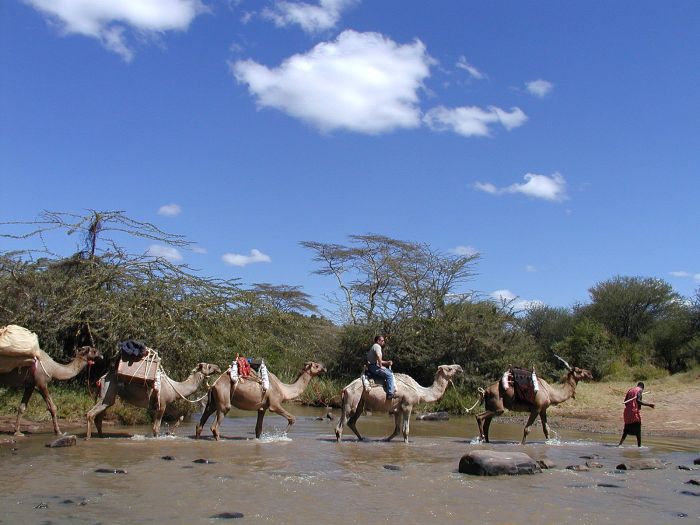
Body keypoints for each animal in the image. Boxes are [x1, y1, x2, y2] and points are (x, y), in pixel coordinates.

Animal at [86, 360, 220, 438]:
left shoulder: (161, 405)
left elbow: (180, 416)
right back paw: (88, 438)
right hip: (108, 393)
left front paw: (170, 433)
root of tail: (102, 378)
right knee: (90, 414)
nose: (218, 368)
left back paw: (101, 437)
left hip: (107, 396)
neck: (175, 388)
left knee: (98, 417)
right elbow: (156, 428)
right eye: (208, 366)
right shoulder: (162, 404)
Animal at [196, 360, 326, 438]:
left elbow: (258, 429)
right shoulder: (274, 404)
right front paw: (282, 435)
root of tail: (213, 385)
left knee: (200, 424)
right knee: (215, 427)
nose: (324, 368)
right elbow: (292, 418)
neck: (284, 390)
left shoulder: (262, 408)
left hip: (213, 402)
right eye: (316, 365)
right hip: (223, 400)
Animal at [334, 364, 462, 442]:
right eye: (449, 368)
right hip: (351, 401)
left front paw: (385, 439)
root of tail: (345, 389)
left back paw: (362, 439)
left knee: (351, 422)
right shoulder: (407, 406)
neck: (419, 391)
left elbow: (397, 430)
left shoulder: (397, 410)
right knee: (340, 426)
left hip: (359, 404)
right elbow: (406, 430)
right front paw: (406, 444)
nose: (460, 368)